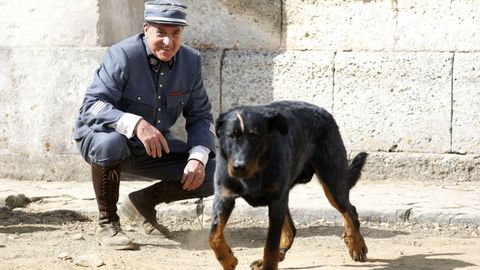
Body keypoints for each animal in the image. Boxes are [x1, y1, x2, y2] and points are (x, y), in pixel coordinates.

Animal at [208, 100, 370, 270]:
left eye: (255, 137)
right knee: (291, 230)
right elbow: (213, 235)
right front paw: (227, 259)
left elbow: (270, 247)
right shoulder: (224, 197)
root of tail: (323, 111)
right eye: (231, 136)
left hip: (333, 182)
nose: (239, 166)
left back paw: (357, 246)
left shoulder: (276, 201)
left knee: (350, 211)